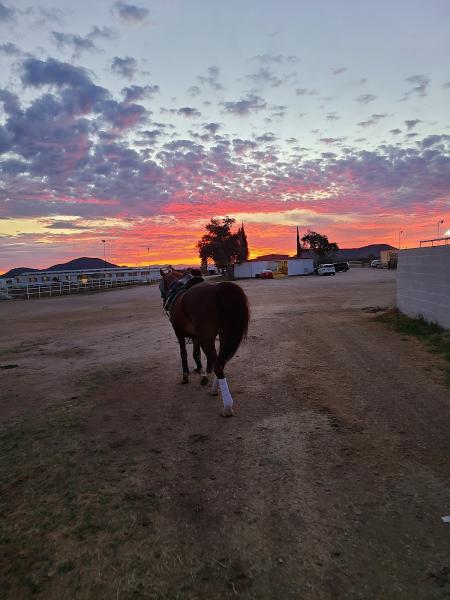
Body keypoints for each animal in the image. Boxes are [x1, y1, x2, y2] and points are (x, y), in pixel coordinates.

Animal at [159, 268, 250, 418]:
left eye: (161, 284)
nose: (163, 299)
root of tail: (217, 290)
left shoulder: (179, 333)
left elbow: (184, 353)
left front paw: (186, 376)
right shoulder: (196, 336)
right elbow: (196, 353)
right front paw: (200, 370)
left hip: (207, 338)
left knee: (218, 365)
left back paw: (227, 406)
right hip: (222, 335)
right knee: (220, 362)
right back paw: (214, 389)